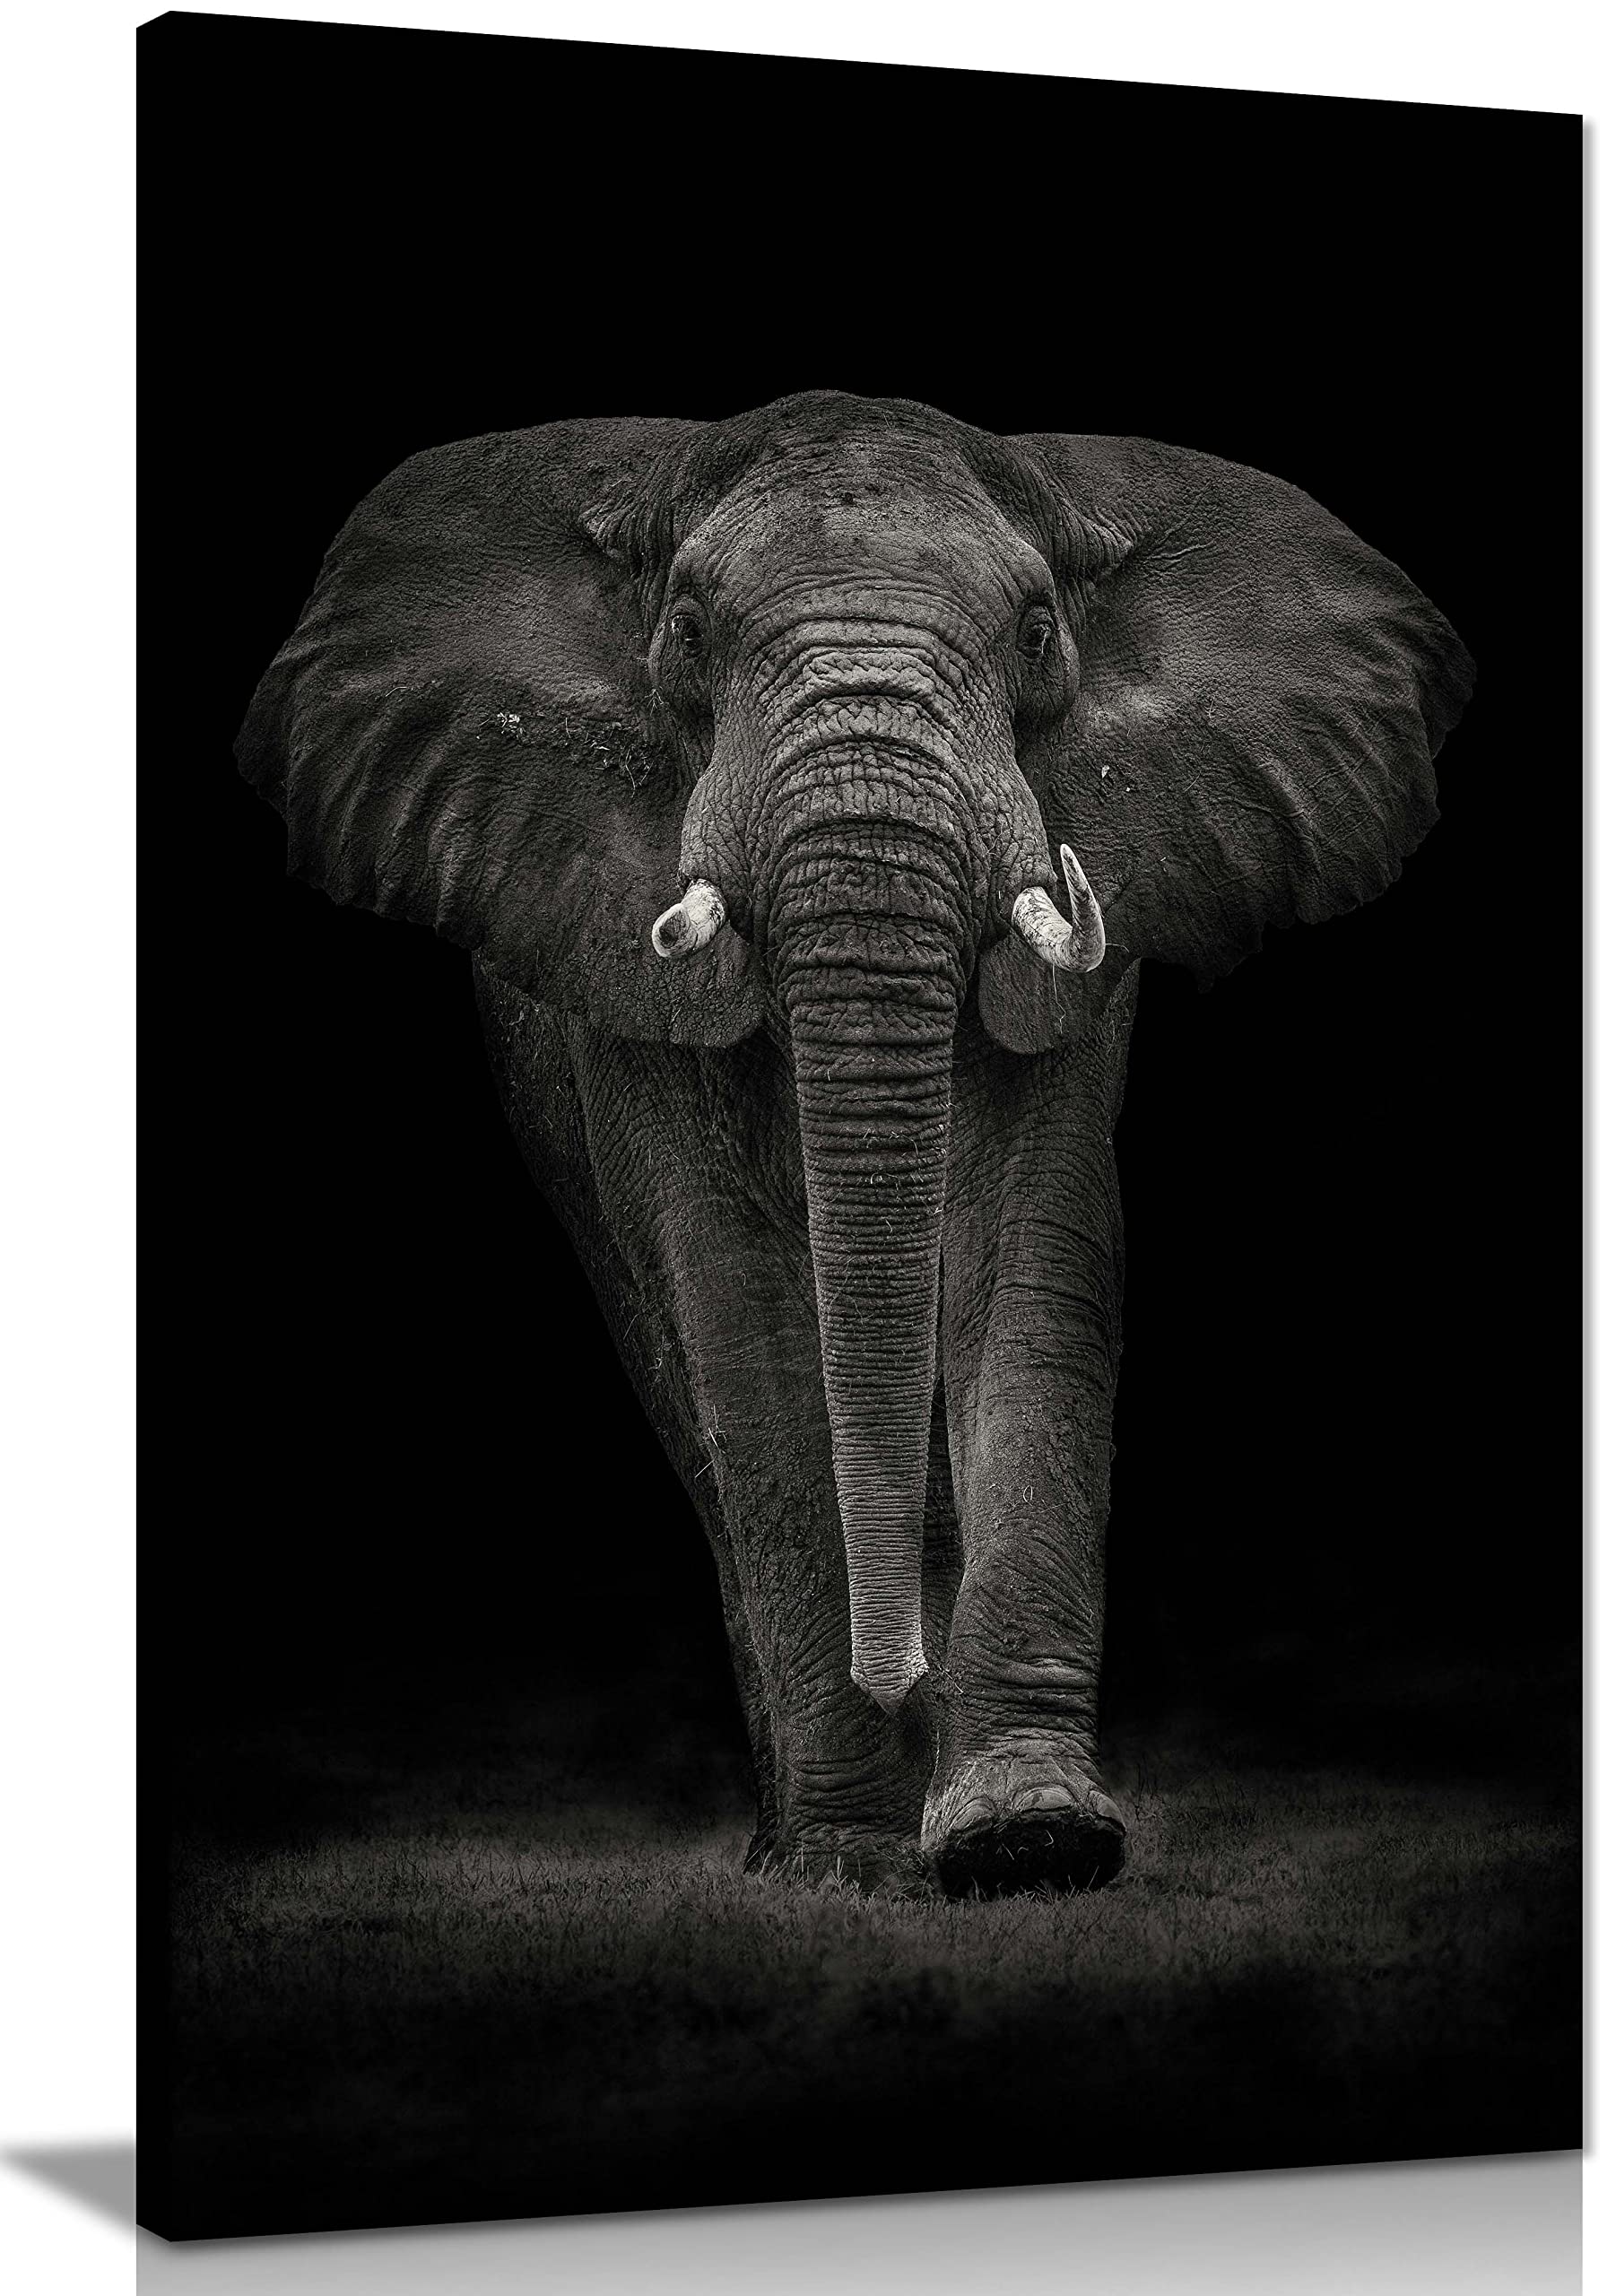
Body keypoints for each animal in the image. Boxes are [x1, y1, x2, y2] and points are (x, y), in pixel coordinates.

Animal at [236, 390, 1472, 1897]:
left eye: (1038, 632)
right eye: (686, 631)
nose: (900, 1677)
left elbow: (1029, 1259)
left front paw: (1026, 1842)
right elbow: (742, 1318)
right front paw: (851, 1863)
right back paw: (792, 1843)